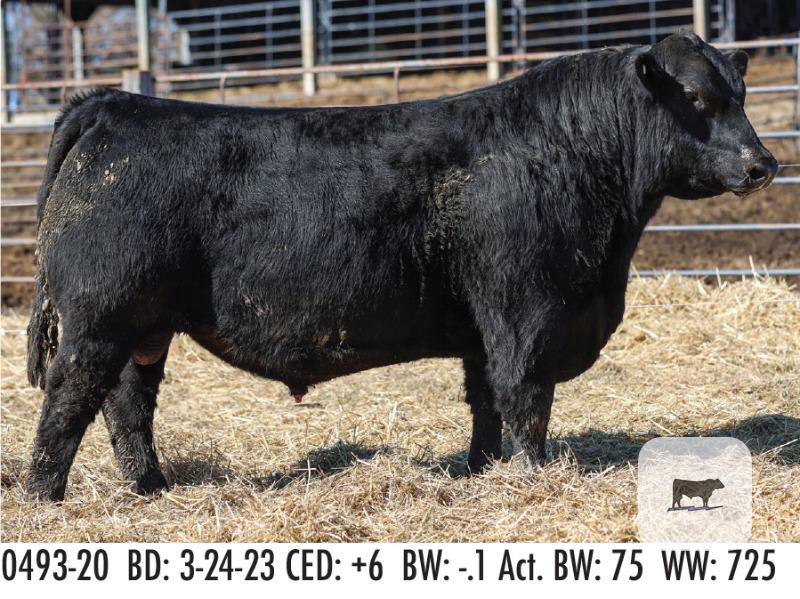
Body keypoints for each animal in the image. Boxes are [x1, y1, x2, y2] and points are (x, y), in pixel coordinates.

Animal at [25, 32, 777, 500]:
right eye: (699, 99)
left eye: (740, 94)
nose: (763, 163)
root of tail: (112, 104)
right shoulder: (527, 313)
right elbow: (525, 399)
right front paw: (532, 476)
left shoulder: (483, 327)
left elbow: (485, 402)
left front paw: (481, 471)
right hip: (98, 318)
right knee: (68, 398)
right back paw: (44, 496)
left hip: (143, 327)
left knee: (128, 403)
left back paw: (150, 486)